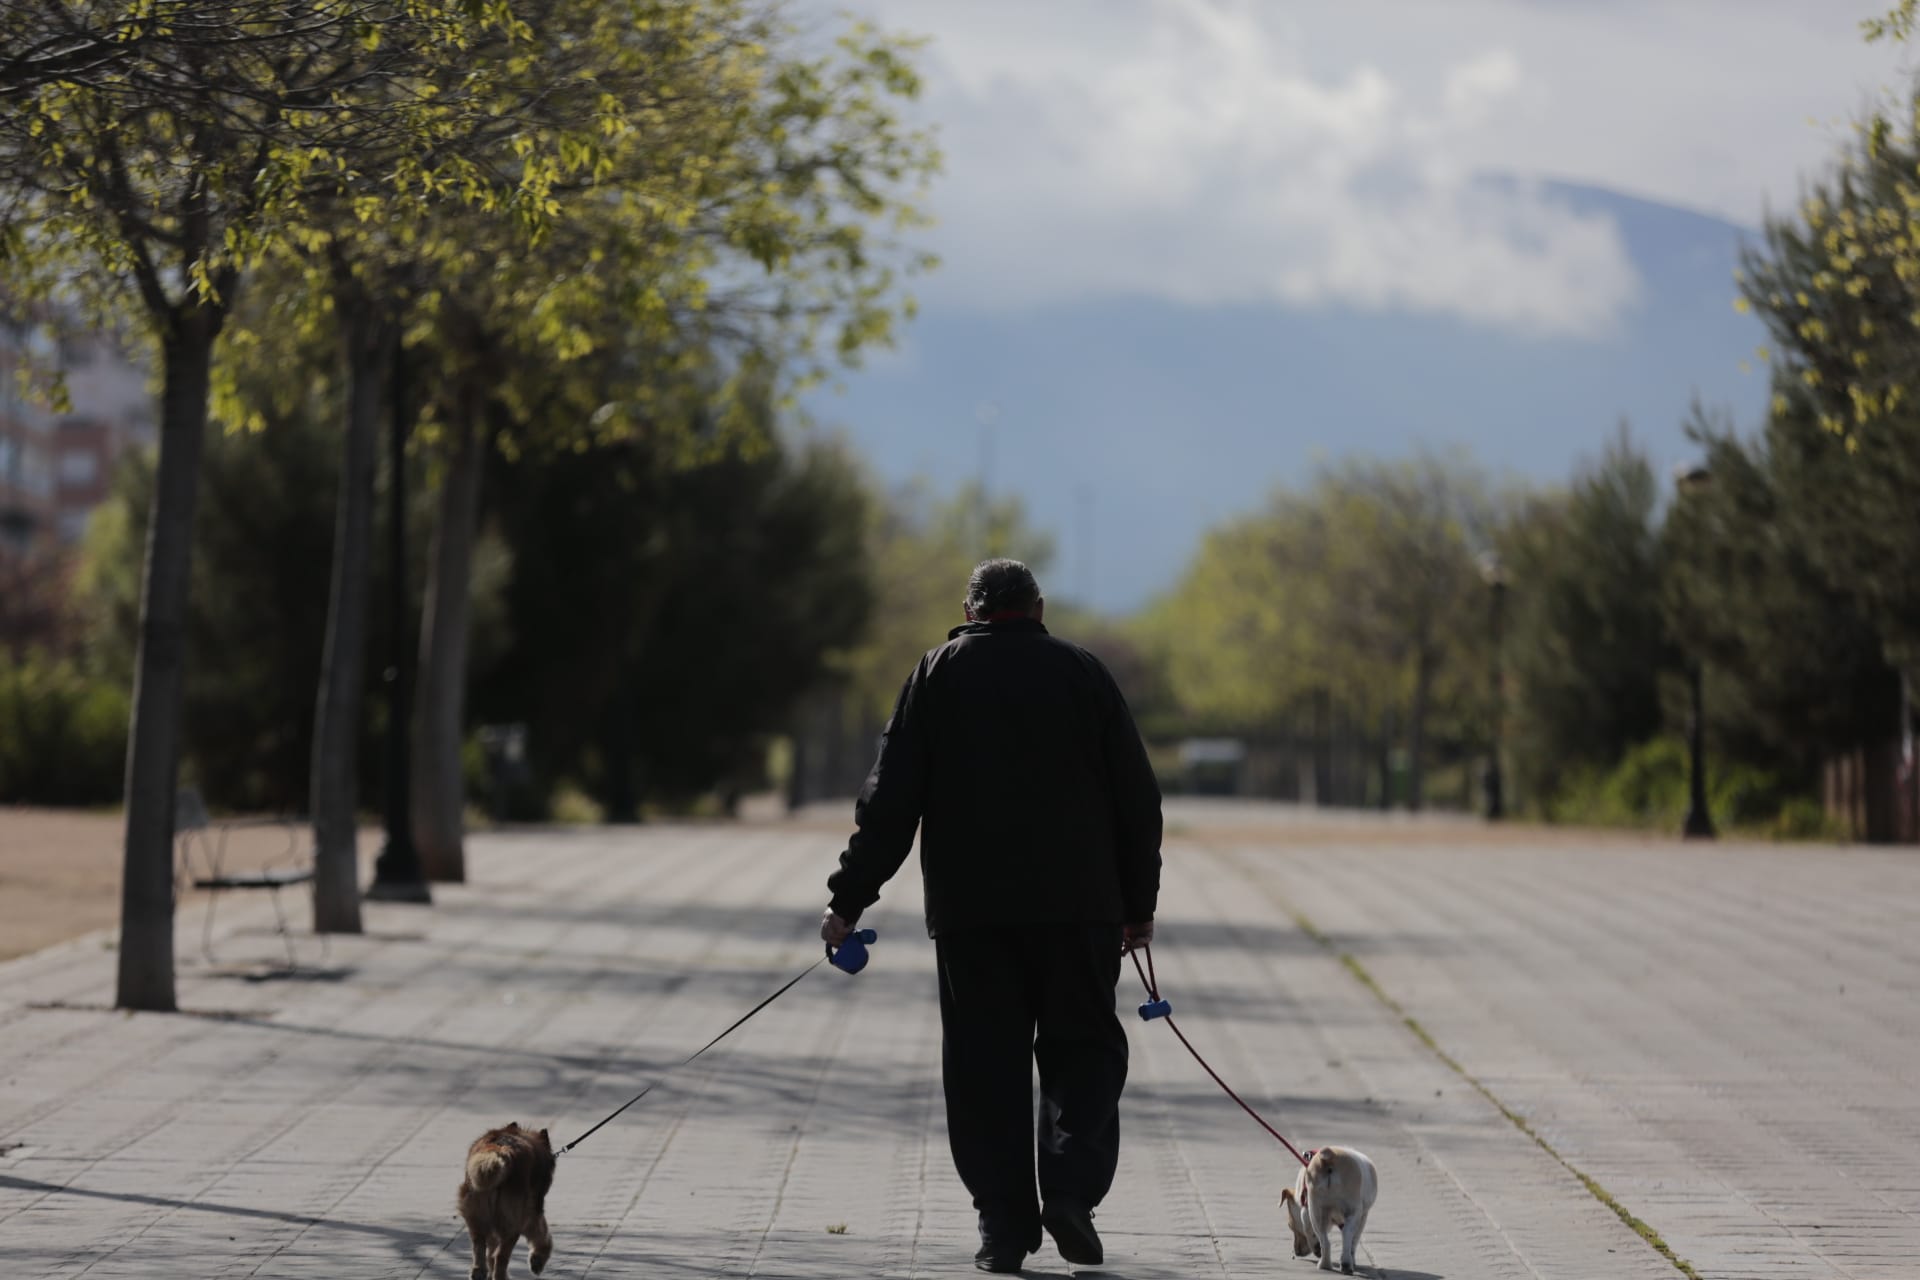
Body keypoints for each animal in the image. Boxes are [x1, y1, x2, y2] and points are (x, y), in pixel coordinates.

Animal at [456, 1128, 556, 1274]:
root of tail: (500, 1151)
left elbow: (490, 1250)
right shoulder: (533, 1212)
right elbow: (542, 1234)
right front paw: (537, 1260)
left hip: (476, 1215)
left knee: (480, 1246)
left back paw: (479, 1272)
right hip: (512, 1222)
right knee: (500, 1256)